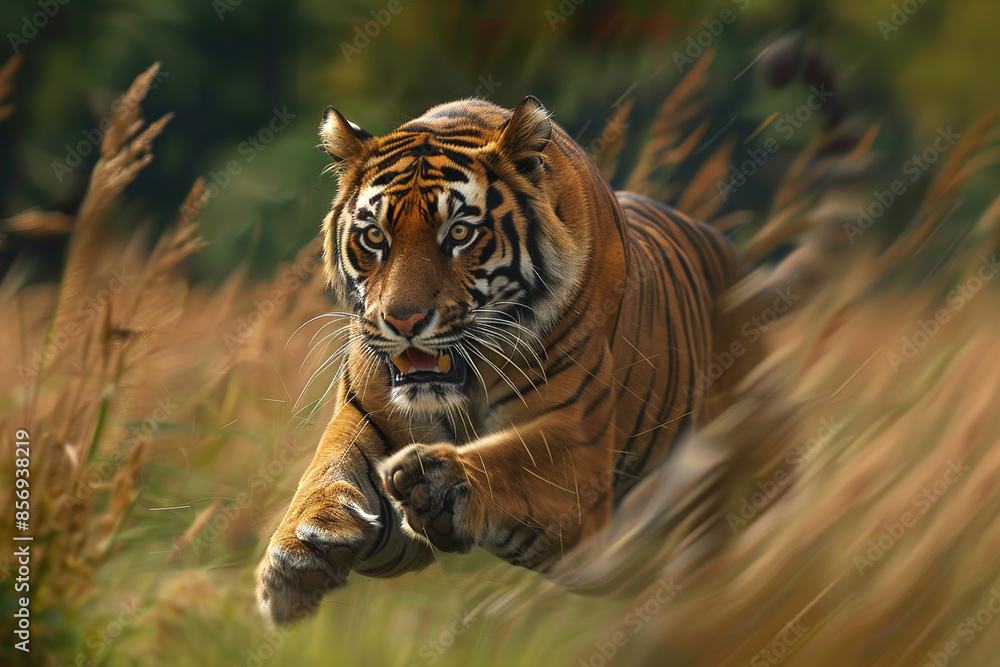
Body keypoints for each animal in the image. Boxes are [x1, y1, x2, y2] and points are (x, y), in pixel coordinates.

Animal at [255, 96, 742, 625]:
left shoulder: (578, 446)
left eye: (460, 233)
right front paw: (298, 556)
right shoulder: (367, 417)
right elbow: (325, 471)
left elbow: (513, 462)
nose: (402, 321)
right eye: (375, 237)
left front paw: (440, 484)